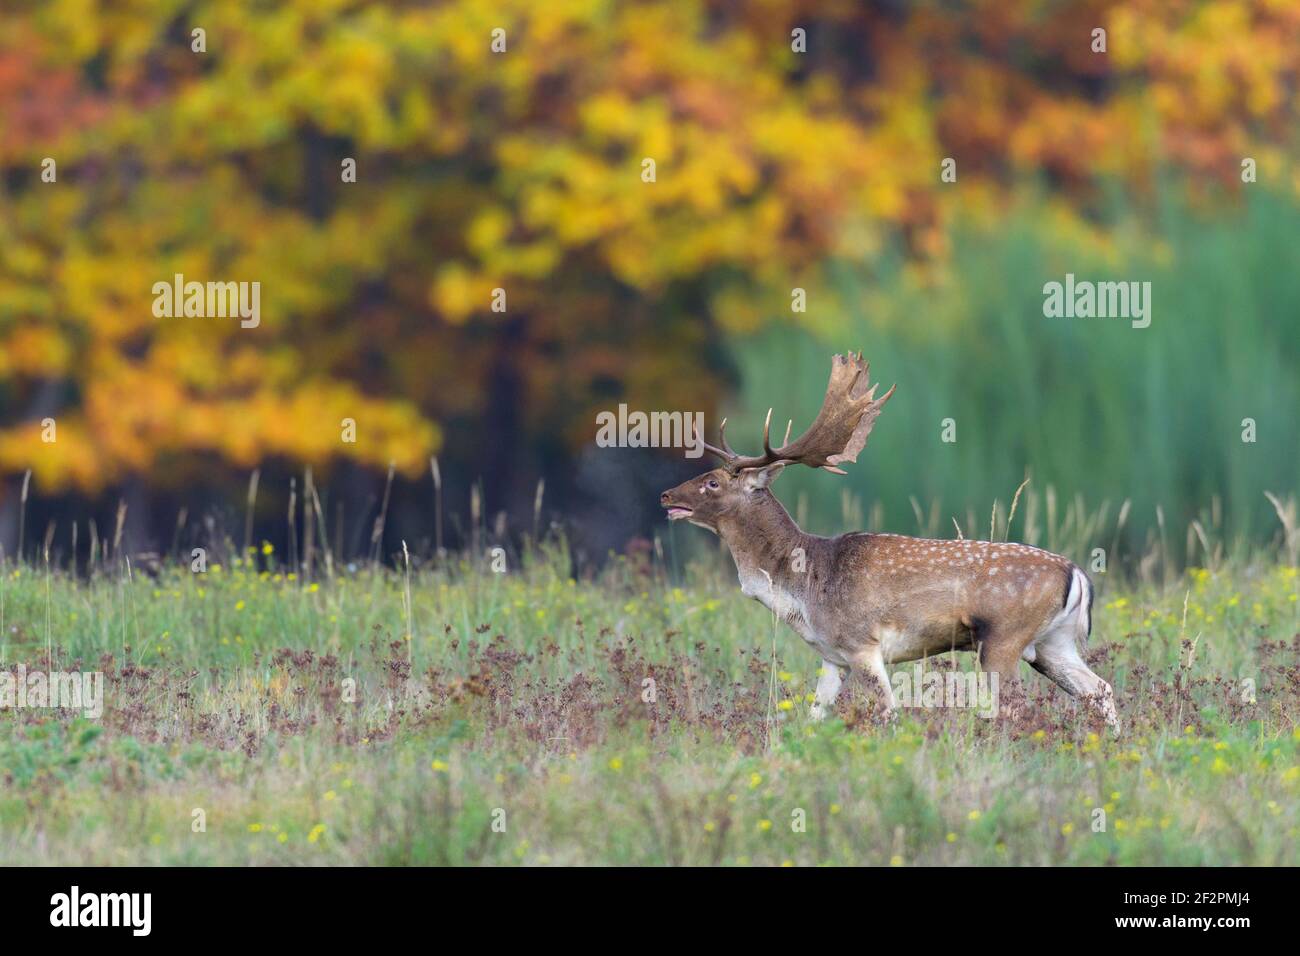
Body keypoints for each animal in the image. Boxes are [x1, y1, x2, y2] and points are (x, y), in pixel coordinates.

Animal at [660, 352, 1119, 732]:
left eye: (713, 483)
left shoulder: (861, 643)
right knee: (1100, 689)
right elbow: (814, 716)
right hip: (1052, 644)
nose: (666, 496)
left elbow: (888, 712)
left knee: (1017, 707)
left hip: (1004, 638)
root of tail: (1078, 574)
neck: (801, 589)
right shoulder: (832, 656)